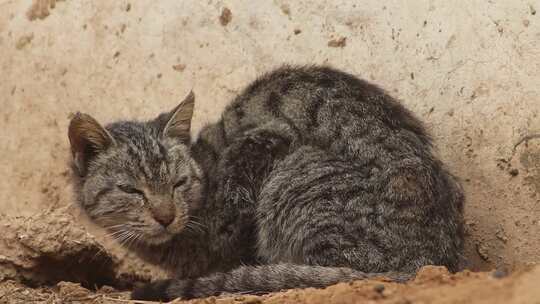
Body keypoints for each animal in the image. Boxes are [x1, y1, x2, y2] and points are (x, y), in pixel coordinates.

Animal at [67, 65, 464, 300]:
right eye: (131, 190)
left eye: (178, 183)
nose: (165, 216)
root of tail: (427, 260)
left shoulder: (266, 139)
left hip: (299, 175)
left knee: (342, 274)